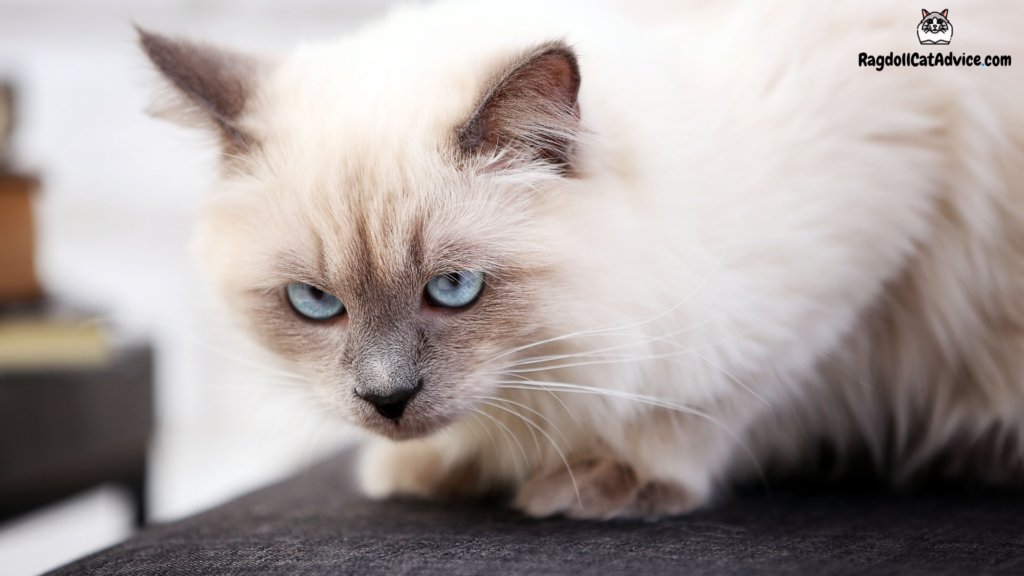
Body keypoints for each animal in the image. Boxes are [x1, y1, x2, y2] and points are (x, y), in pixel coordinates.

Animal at [140, 0, 1024, 518]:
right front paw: (434, 466)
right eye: (315, 303)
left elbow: (714, 400)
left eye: (452, 289)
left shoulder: (860, 244)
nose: (387, 402)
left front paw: (606, 482)